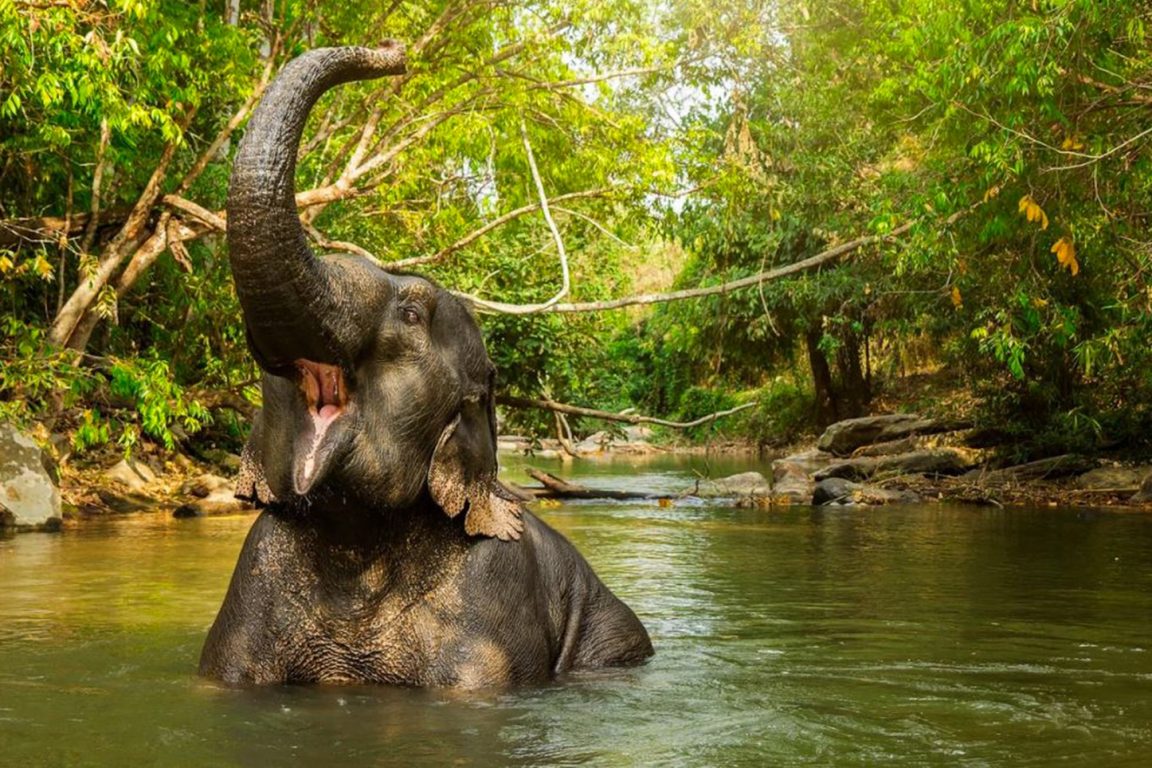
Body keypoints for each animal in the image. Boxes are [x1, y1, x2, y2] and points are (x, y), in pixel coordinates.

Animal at [198, 43, 654, 687]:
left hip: (612, 636)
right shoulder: (252, 577)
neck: (356, 542)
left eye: (412, 313)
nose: (396, 53)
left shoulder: (492, 589)